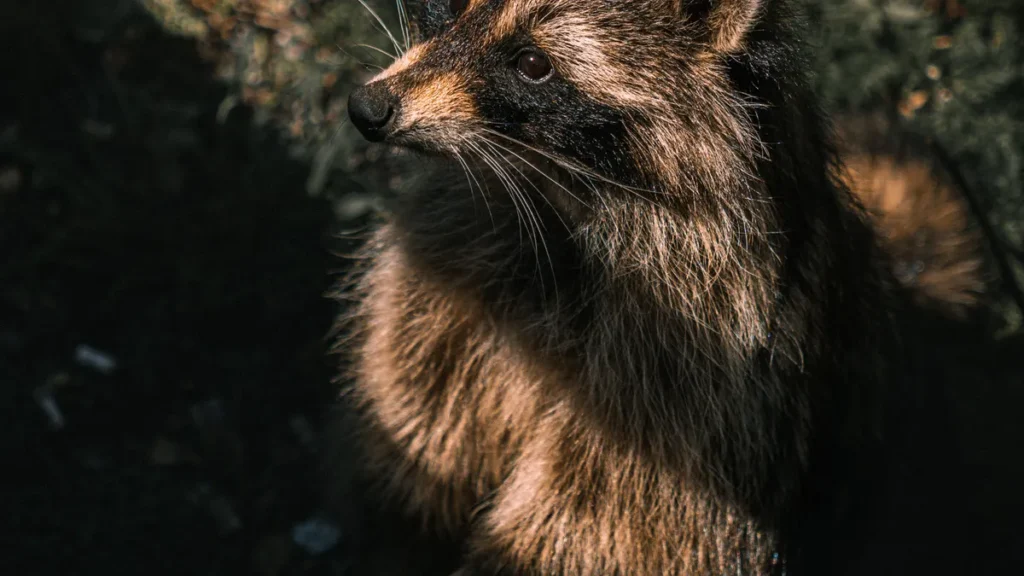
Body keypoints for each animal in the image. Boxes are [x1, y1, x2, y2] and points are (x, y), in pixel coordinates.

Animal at [334, 1, 1011, 575]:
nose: (368, 108)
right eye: (447, 9)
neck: (555, 203)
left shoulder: (701, 397)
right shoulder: (453, 286)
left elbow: (606, 531)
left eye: (532, 64)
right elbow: (420, 425)